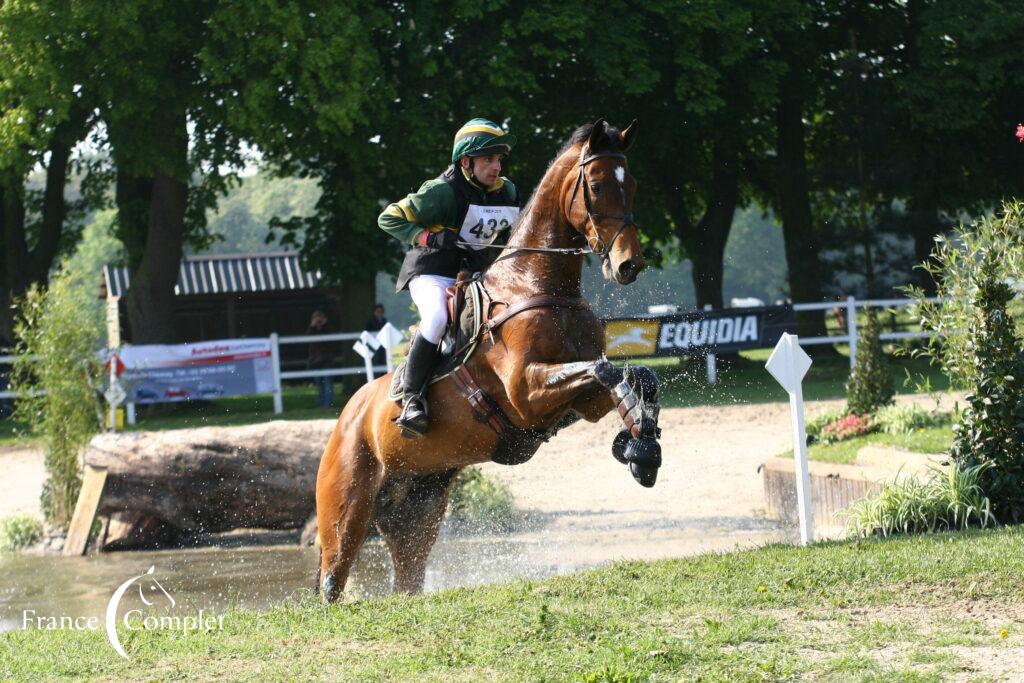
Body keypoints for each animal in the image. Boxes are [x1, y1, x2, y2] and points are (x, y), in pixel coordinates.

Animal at [313, 120, 663, 602]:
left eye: (634, 186)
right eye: (595, 185)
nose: (629, 265)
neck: (538, 285)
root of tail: (346, 418)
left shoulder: (581, 401)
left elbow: (632, 375)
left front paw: (642, 446)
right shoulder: (526, 394)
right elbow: (605, 370)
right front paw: (638, 445)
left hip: (416, 511)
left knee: (407, 578)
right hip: (345, 515)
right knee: (332, 582)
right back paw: (411, 408)